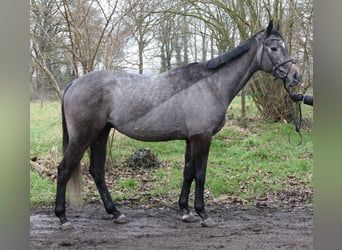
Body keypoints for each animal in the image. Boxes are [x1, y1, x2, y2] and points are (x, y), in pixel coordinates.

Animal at [54, 20, 300, 229]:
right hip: (83, 136)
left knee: (97, 170)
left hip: (101, 134)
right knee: (65, 169)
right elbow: (200, 173)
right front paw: (203, 214)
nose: (295, 76)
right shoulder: (202, 137)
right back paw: (63, 218)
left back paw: (116, 213)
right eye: (274, 48)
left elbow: (188, 172)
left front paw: (186, 211)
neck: (210, 85)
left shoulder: (190, 139)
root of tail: (74, 83)